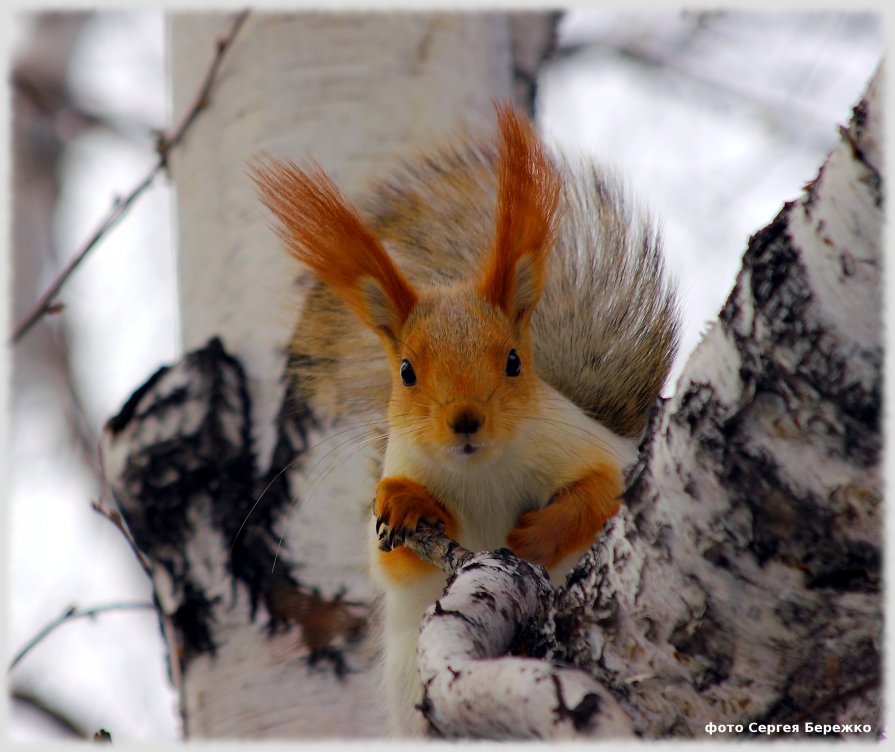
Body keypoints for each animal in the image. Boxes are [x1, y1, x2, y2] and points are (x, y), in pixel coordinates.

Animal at [252, 106, 680, 736]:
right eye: (406, 371)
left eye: (513, 361)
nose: (466, 420)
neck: (481, 474)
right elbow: (396, 563)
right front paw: (407, 501)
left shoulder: (590, 448)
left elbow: (603, 491)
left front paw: (535, 534)